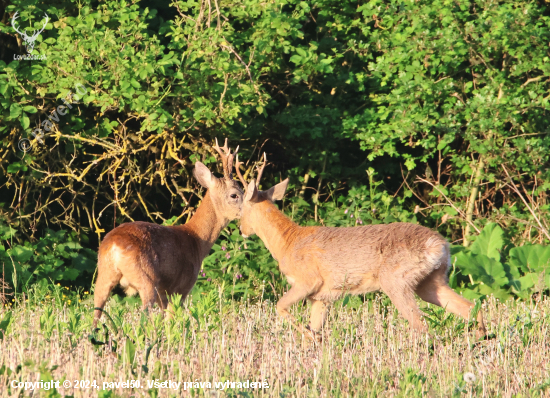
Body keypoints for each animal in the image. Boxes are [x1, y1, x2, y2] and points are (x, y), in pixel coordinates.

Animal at [94, 140, 243, 326]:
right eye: (234, 195)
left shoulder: (164, 291)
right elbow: (172, 320)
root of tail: (113, 246)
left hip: (104, 274)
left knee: (96, 311)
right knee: (144, 315)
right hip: (146, 278)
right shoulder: (181, 286)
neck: (196, 240)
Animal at [236, 154, 488, 340]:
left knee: (421, 325)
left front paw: (308, 336)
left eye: (241, 206)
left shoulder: (308, 281)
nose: (240, 228)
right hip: (431, 281)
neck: (287, 242)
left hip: (395, 279)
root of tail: (440, 245)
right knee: (470, 308)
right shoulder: (322, 296)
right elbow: (314, 329)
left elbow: (281, 308)